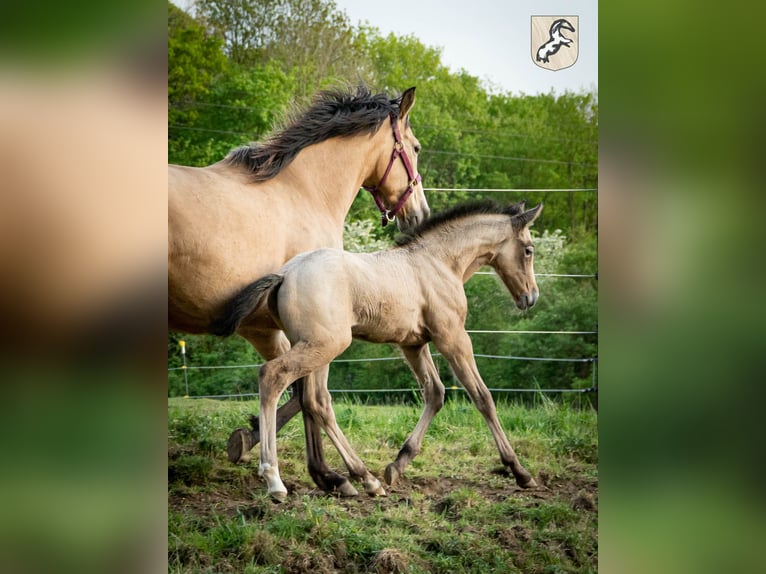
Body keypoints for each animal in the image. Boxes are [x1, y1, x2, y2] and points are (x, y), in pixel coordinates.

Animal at [170, 86, 432, 496]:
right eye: (416, 147)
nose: (421, 214)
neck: (302, 192)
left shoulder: (266, 329)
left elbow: (297, 394)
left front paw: (315, 470)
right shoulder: (309, 332)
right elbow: (308, 396)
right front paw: (334, 474)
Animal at [213, 201, 544, 500]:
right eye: (529, 250)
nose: (531, 297)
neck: (436, 262)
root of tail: (285, 274)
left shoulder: (413, 344)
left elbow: (435, 393)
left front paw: (398, 464)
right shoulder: (452, 337)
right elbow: (483, 397)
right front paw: (520, 471)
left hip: (313, 348)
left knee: (314, 400)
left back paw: (360, 479)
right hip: (325, 346)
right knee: (275, 378)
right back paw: (277, 479)